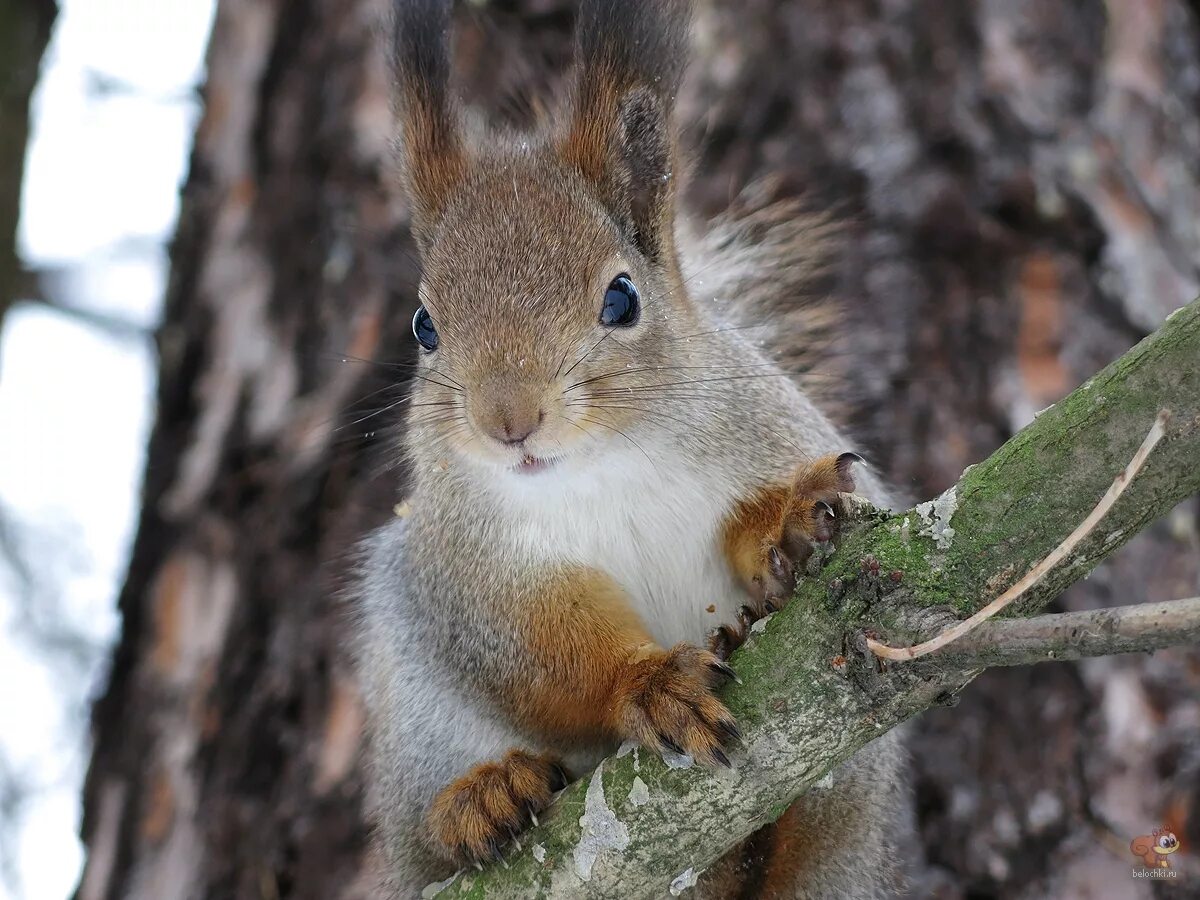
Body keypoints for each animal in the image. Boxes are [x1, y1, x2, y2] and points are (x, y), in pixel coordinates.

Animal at [352, 0, 907, 897]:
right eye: (423, 325)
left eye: (622, 299)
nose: (509, 421)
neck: (602, 467)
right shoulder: (472, 563)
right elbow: (542, 645)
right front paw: (648, 685)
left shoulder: (771, 427)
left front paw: (787, 528)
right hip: (410, 701)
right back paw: (479, 800)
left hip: (853, 798)